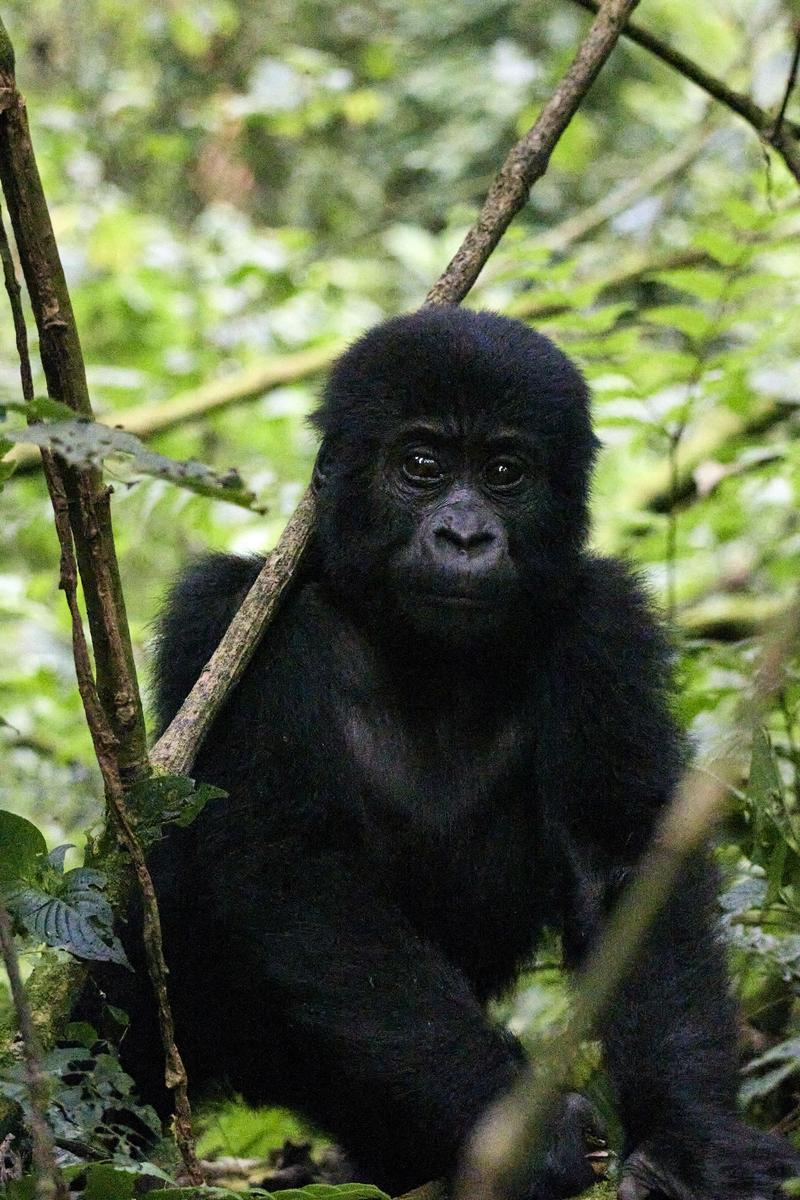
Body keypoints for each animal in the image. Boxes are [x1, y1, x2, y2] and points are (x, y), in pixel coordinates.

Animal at [118, 312, 800, 1200]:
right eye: (422, 466)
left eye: (506, 473)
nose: (467, 535)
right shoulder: (233, 620)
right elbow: (293, 867)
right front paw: (524, 1129)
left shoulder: (603, 623)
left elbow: (621, 855)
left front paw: (690, 1138)